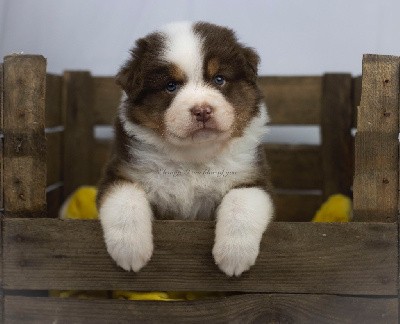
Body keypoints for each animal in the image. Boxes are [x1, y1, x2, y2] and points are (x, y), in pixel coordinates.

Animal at [97, 21, 274, 278]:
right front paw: (129, 251)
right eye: (170, 86)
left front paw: (234, 255)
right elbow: (125, 200)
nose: (202, 111)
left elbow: (241, 203)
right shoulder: (120, 172)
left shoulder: (252, 178)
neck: (192, 157)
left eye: (219, 79)